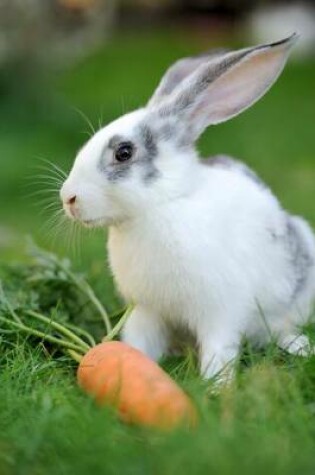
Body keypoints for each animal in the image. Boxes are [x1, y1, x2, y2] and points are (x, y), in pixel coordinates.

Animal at [59, 32, 315, 384]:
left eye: (124, 152)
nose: (68, 198)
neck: (162, 205)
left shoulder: (220, 311)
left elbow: (219, 349)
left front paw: (216, 387)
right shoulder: (147, 312)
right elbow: (139, 343)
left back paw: (300, 346)